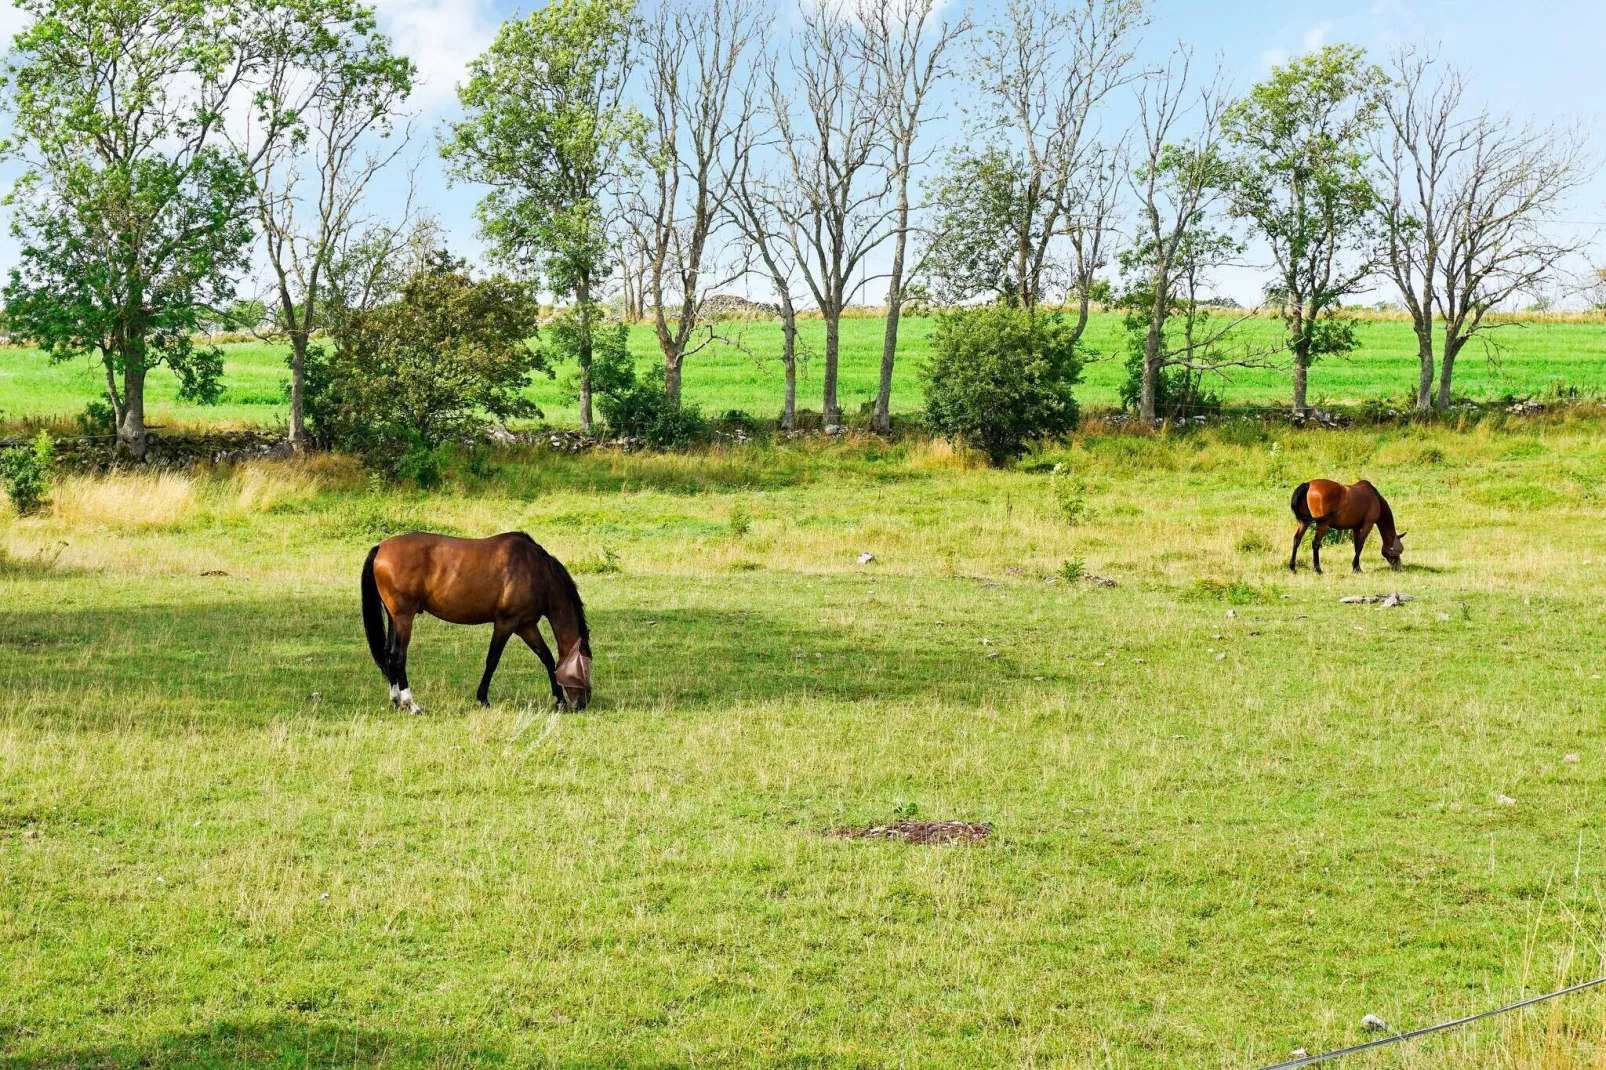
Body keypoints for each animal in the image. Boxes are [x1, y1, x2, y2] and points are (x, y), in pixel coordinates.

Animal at [361, 530, 594, 713]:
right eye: (586, 667)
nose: (583, 703)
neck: (535, 571)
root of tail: (381, 547)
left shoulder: (526, 625)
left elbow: (546, 657)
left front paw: (560, 700)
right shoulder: (506, 623)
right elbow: (492, 660)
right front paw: (483, 698)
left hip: (394, 617)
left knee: (388, 652)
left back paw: (396, 701)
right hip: (404, 617)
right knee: (398, 656)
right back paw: (411, 704)